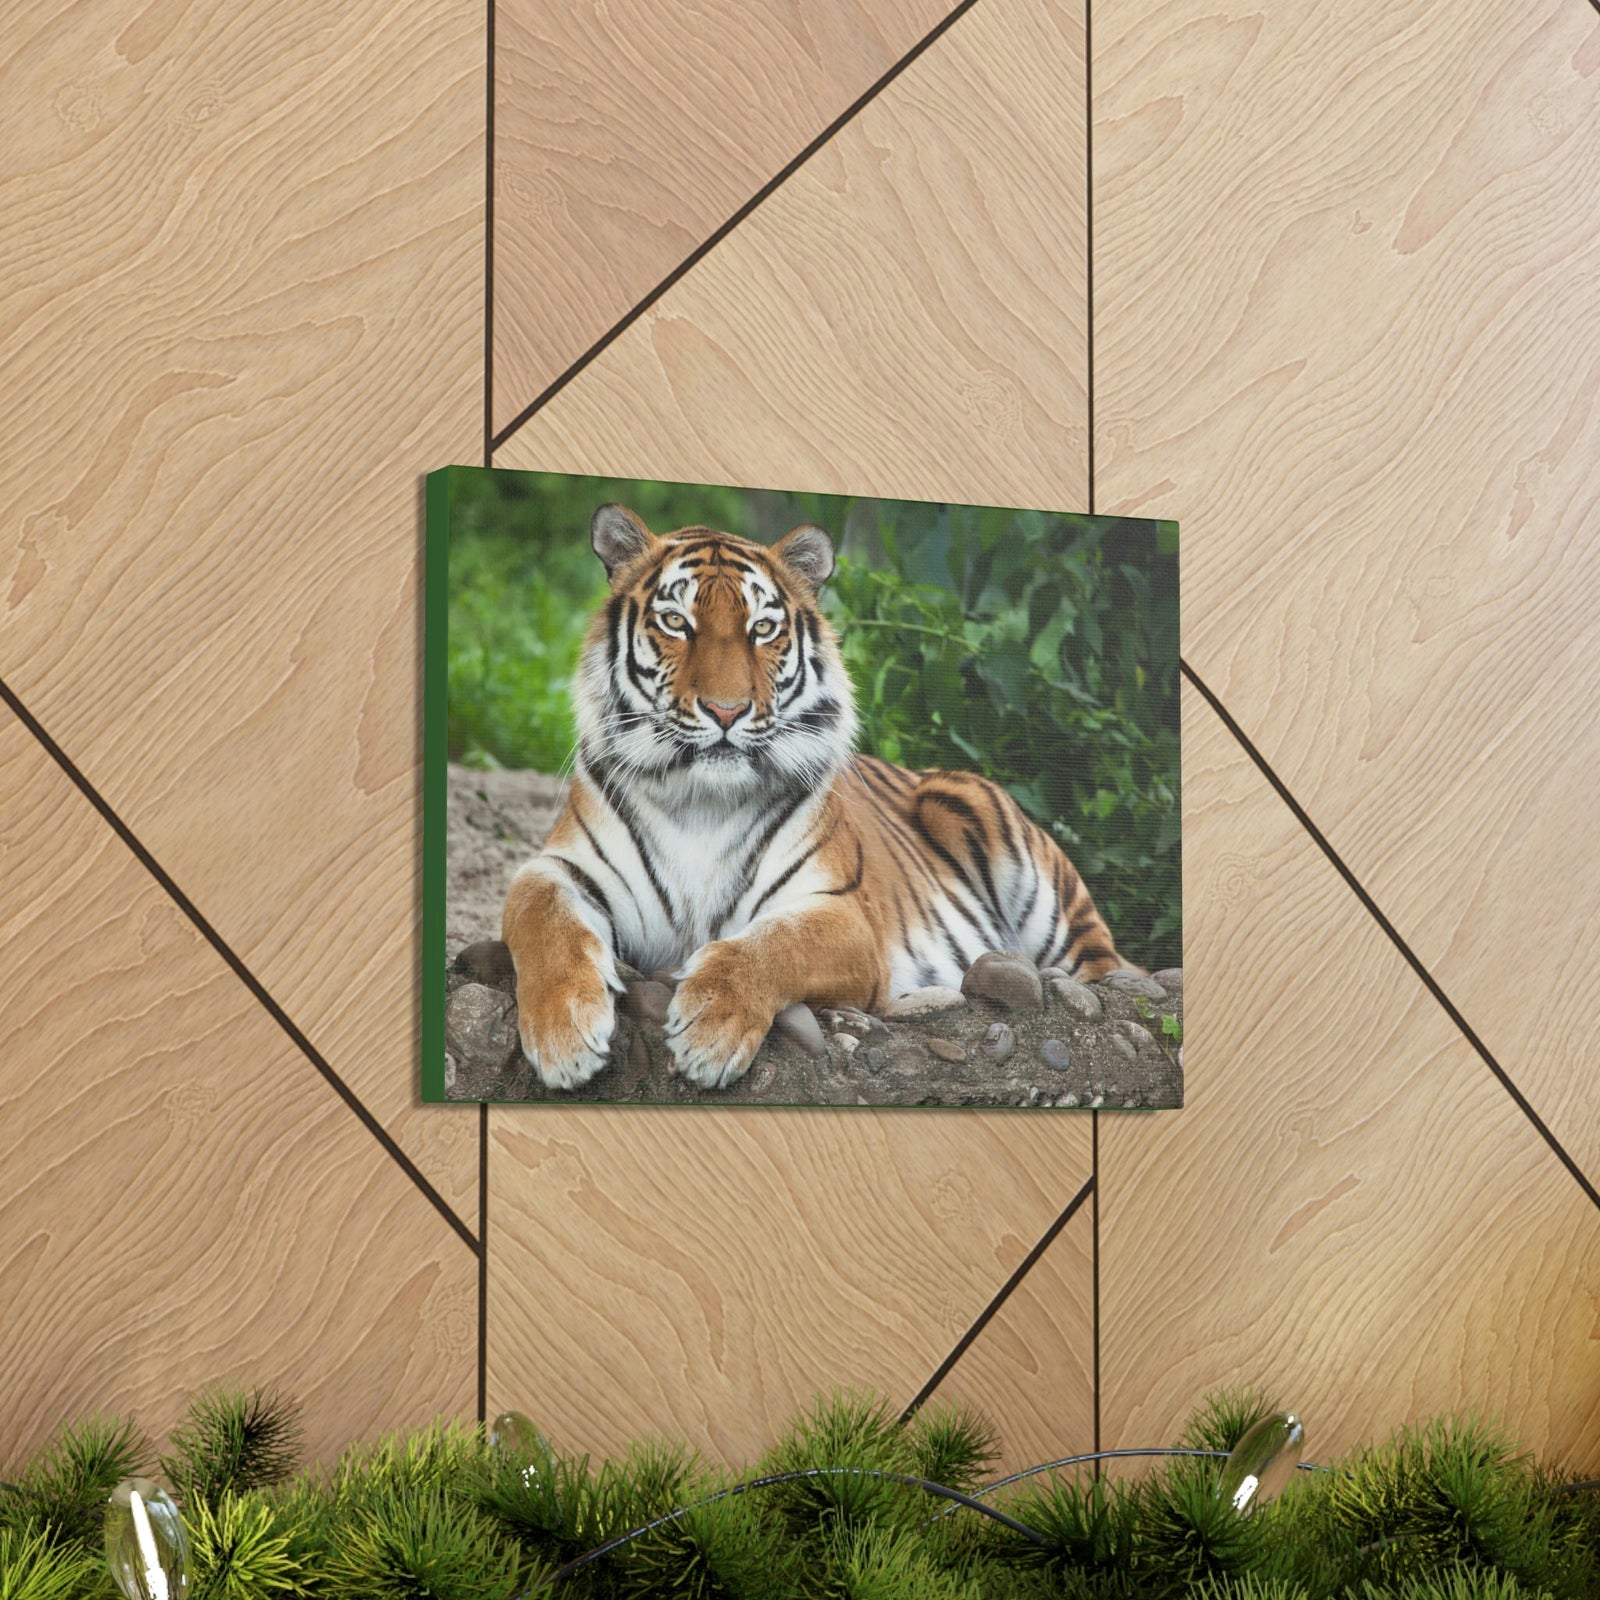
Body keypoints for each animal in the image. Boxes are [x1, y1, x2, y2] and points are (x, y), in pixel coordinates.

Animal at [501, 502, 1129, 1090]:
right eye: (676, 622)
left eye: (761, 629)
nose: (726, 711)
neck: (701, 802)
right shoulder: (557, 868)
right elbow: (544, 919)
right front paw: (564, 1036)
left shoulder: (844, 914)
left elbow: (772, 945)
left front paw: (710, 1030)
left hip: (998, 839)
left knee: (1110, 969)